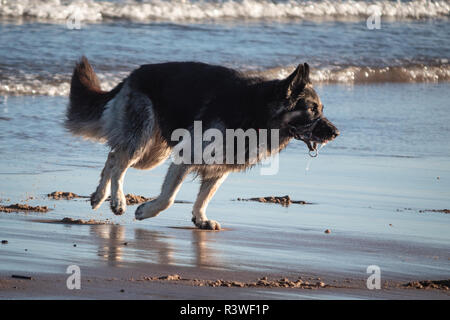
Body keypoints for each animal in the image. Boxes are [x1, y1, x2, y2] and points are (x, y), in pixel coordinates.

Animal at [64, 56, 338, 229]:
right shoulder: (187, 156)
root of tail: (134, 74)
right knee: (120, 161)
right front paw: (145, 211)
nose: (336, 133)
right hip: (142, 142)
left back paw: (99, 196)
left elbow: (205, 196)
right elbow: (168, 198)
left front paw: (200, 218)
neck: (258, 111)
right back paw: (117, 200)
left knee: (113, 157)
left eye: (321, 109)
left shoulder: (220, 168)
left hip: (152, 154)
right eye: (312, 110)